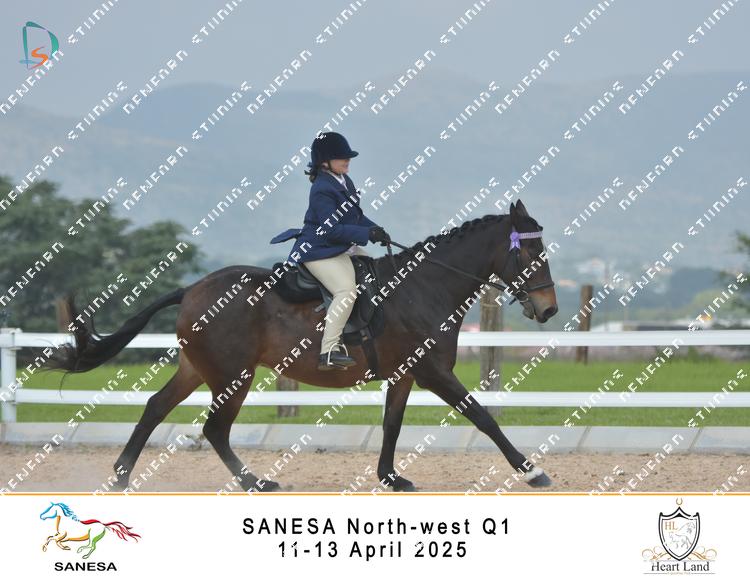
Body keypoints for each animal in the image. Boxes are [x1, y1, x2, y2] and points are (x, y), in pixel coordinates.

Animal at [44, 199, 558, 492]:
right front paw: (532, 471)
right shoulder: (433, 372)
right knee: (214, 428)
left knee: (155, 408)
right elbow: (483, 416)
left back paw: (121, 478)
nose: (549, 309)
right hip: (233, 375)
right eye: (532, 253)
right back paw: (255, 483)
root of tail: (192, 289)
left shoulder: (405, 374)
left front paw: (391, 478)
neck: (425, 287)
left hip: (199, 368)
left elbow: (391, 425)